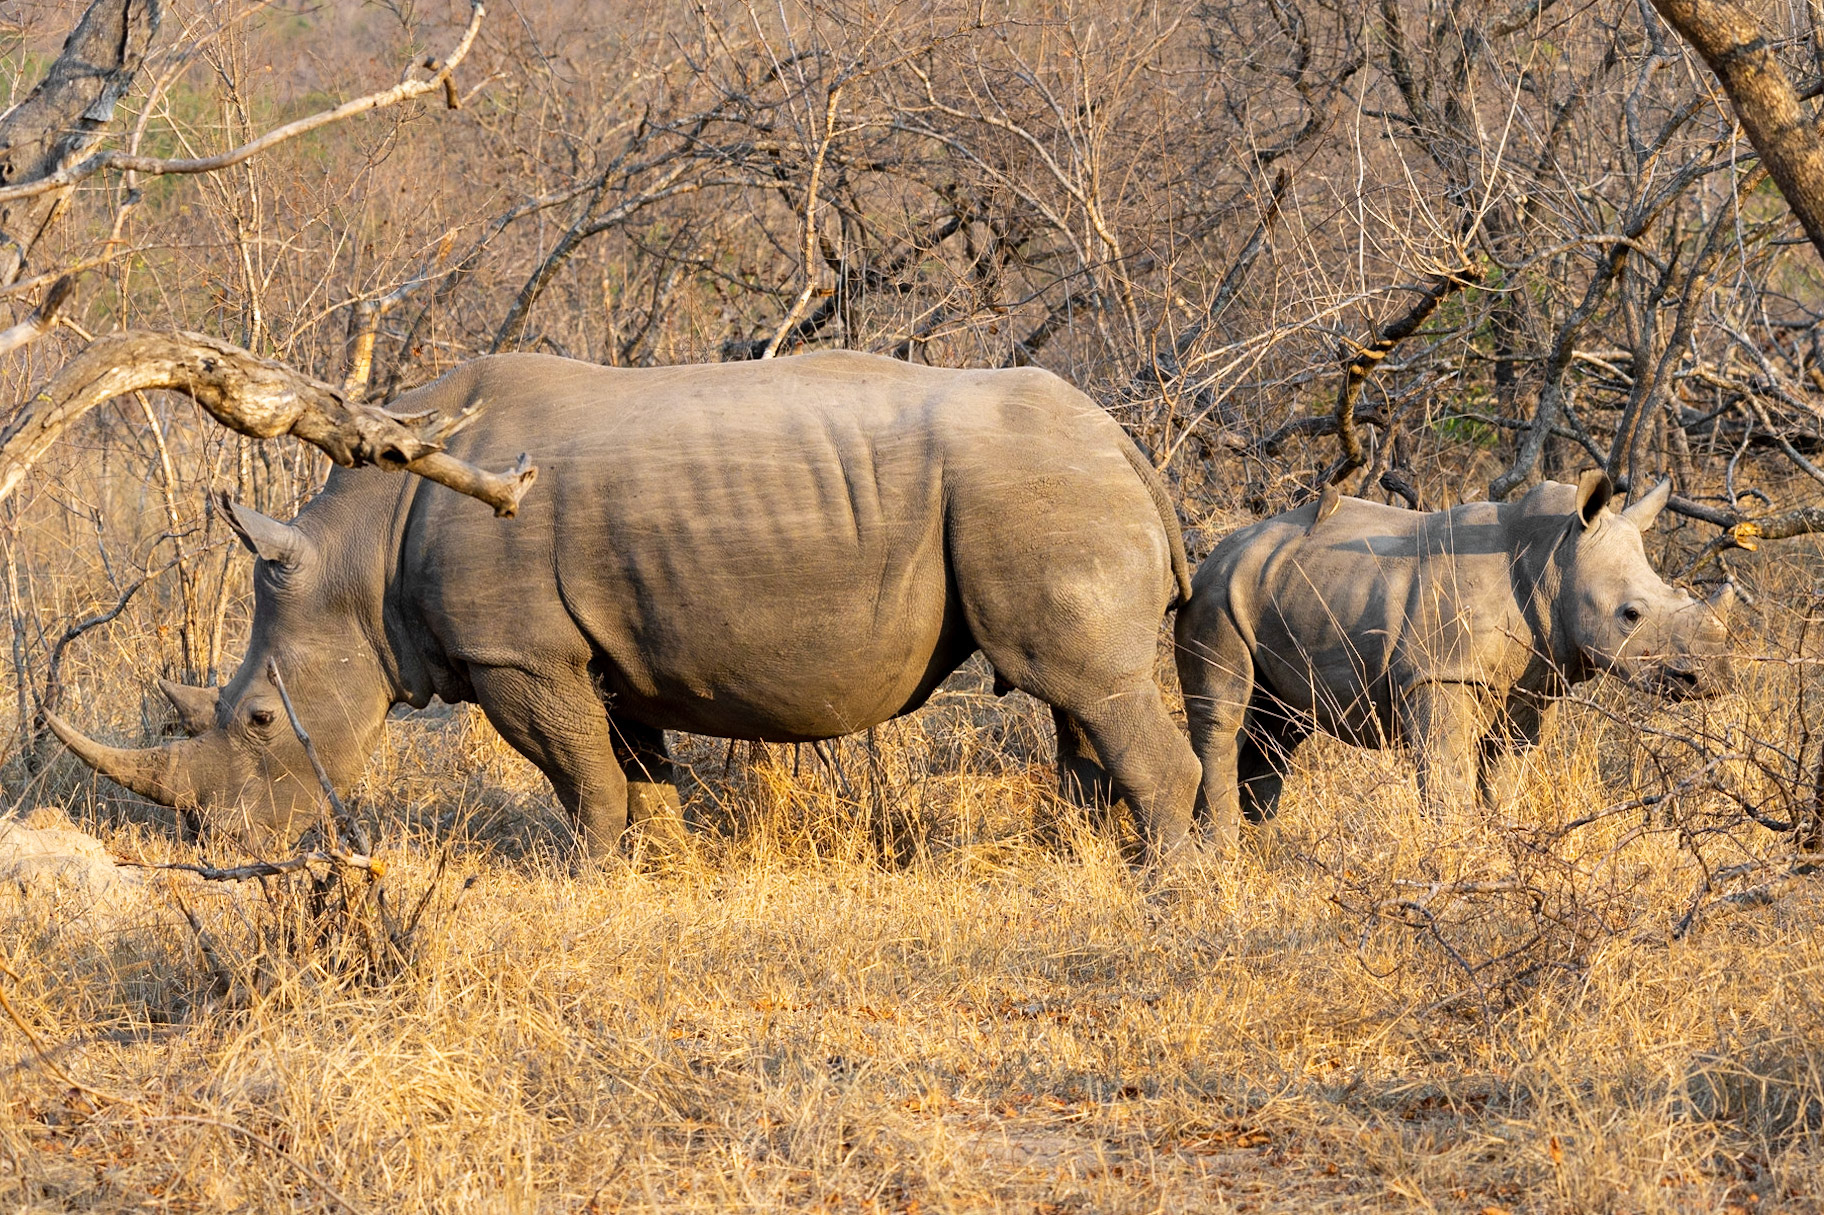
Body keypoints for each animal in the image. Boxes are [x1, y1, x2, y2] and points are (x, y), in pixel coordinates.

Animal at [48, 350, 1200, 862]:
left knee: (1085, 684)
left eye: (255, 720)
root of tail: (1128, 445)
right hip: (1045, 488)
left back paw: (1171, 881)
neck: (357, 555)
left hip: (1037, 488)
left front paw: (590, 872)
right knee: (1076, 697)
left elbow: (578, 773)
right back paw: (1119, 858)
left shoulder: (516, 655)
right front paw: (669, 864)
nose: (214, 848)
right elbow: (639, 766)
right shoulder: (603, 649)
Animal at [1175, 471, 1734, 849]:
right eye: (1630, 615)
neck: (1556, 556)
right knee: (1226, 714)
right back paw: (1223, 853)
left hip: (1278, 587)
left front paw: (1503, 843)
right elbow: (1448, 771)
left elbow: (1503, 773)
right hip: (1213, 595)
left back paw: (1264, 848)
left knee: (1281, 728)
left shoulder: (1533, 680)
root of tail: (1221, 548)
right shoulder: (1441, 673)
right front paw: (1455, 852)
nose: (1709, 679)